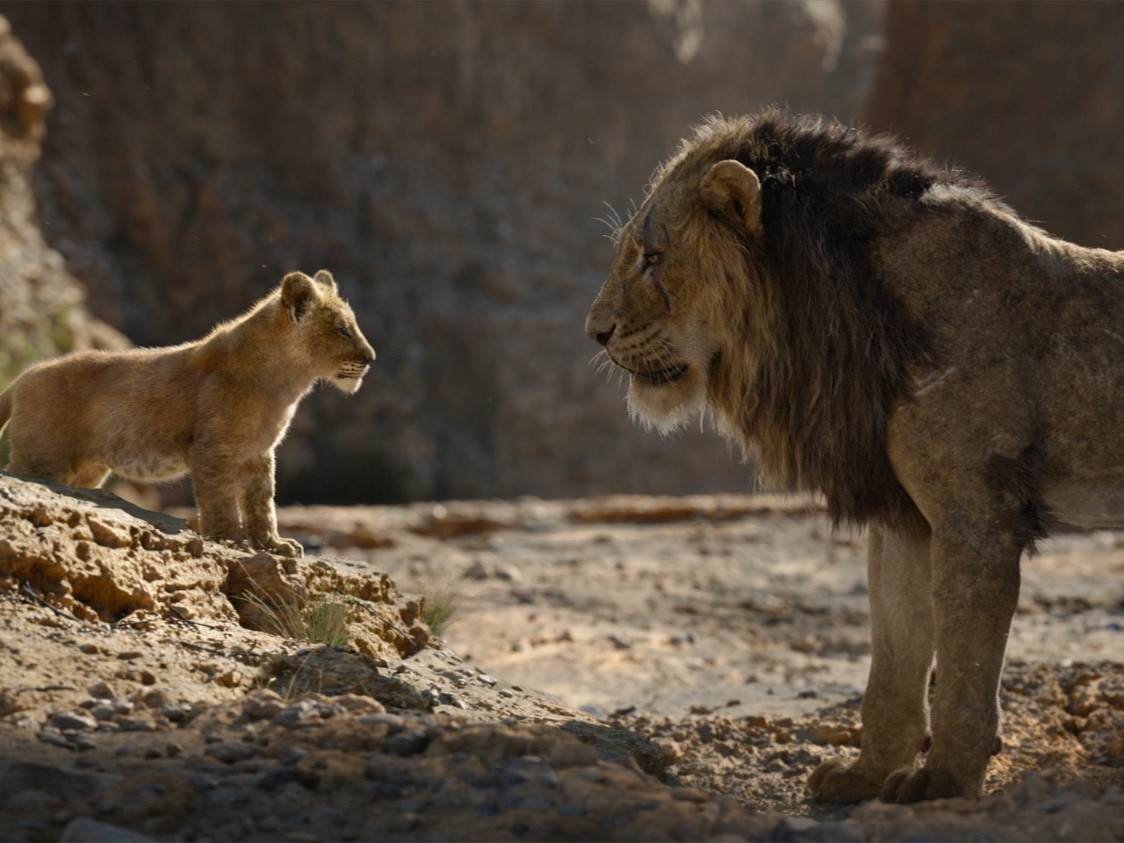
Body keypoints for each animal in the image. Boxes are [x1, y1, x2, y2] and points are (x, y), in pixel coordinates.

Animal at [0, 269, 375, 558]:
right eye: (342, 329)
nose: (371, 358)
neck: (286, 382)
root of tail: (21, 378)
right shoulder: (211, 449)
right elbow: (220, 500)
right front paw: (230, 541)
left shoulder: (258, 453)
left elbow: (262, 502)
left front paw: (274, 545)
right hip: (41, 460)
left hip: (85, 472)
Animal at [585, 110, 1124, 803]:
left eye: (654, 258)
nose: (595, 332)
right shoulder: (905, 517)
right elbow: (892, 657)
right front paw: (866, 775)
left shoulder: (976, 517)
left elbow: (963, 667)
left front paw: (945, 781)